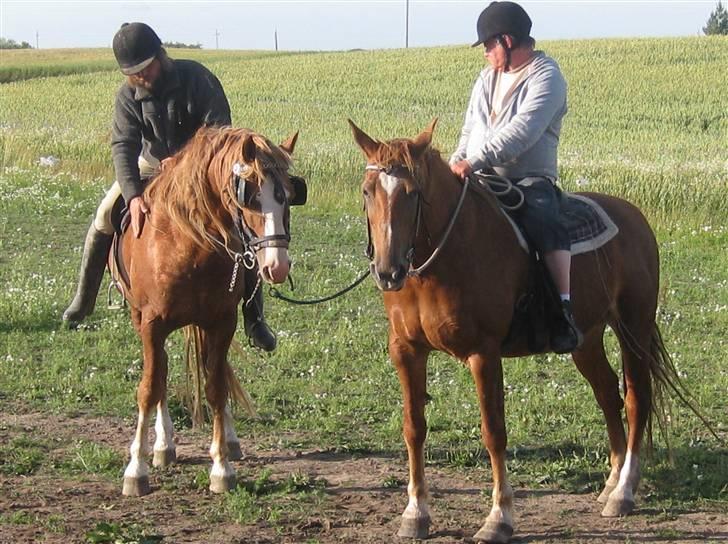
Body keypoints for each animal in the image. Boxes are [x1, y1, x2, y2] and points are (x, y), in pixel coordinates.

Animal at [118, 126, 300, 498]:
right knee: (161, 376)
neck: (188, 246)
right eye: (249, 196)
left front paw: (221, 467)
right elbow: (150, 388)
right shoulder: (152, 326)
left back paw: (226, 440)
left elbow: (216, 387)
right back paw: (163, 445)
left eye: (288, 196)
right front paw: (136, 468)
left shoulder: (221, 323)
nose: (277, 266)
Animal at [352, 121, 700, 544]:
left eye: (412, 192)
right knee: (607, 394)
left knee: (636, 398)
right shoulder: (405, 350)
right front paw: (415, 513)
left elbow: (494, 432)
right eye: (367, 191)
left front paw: (499, 518)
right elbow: (414, 428)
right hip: (586, 338)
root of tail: (634, 216)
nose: (388, 272)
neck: (445, 259)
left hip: (633, 326)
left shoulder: (484, 353)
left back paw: (624, 492)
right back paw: (612, 481)